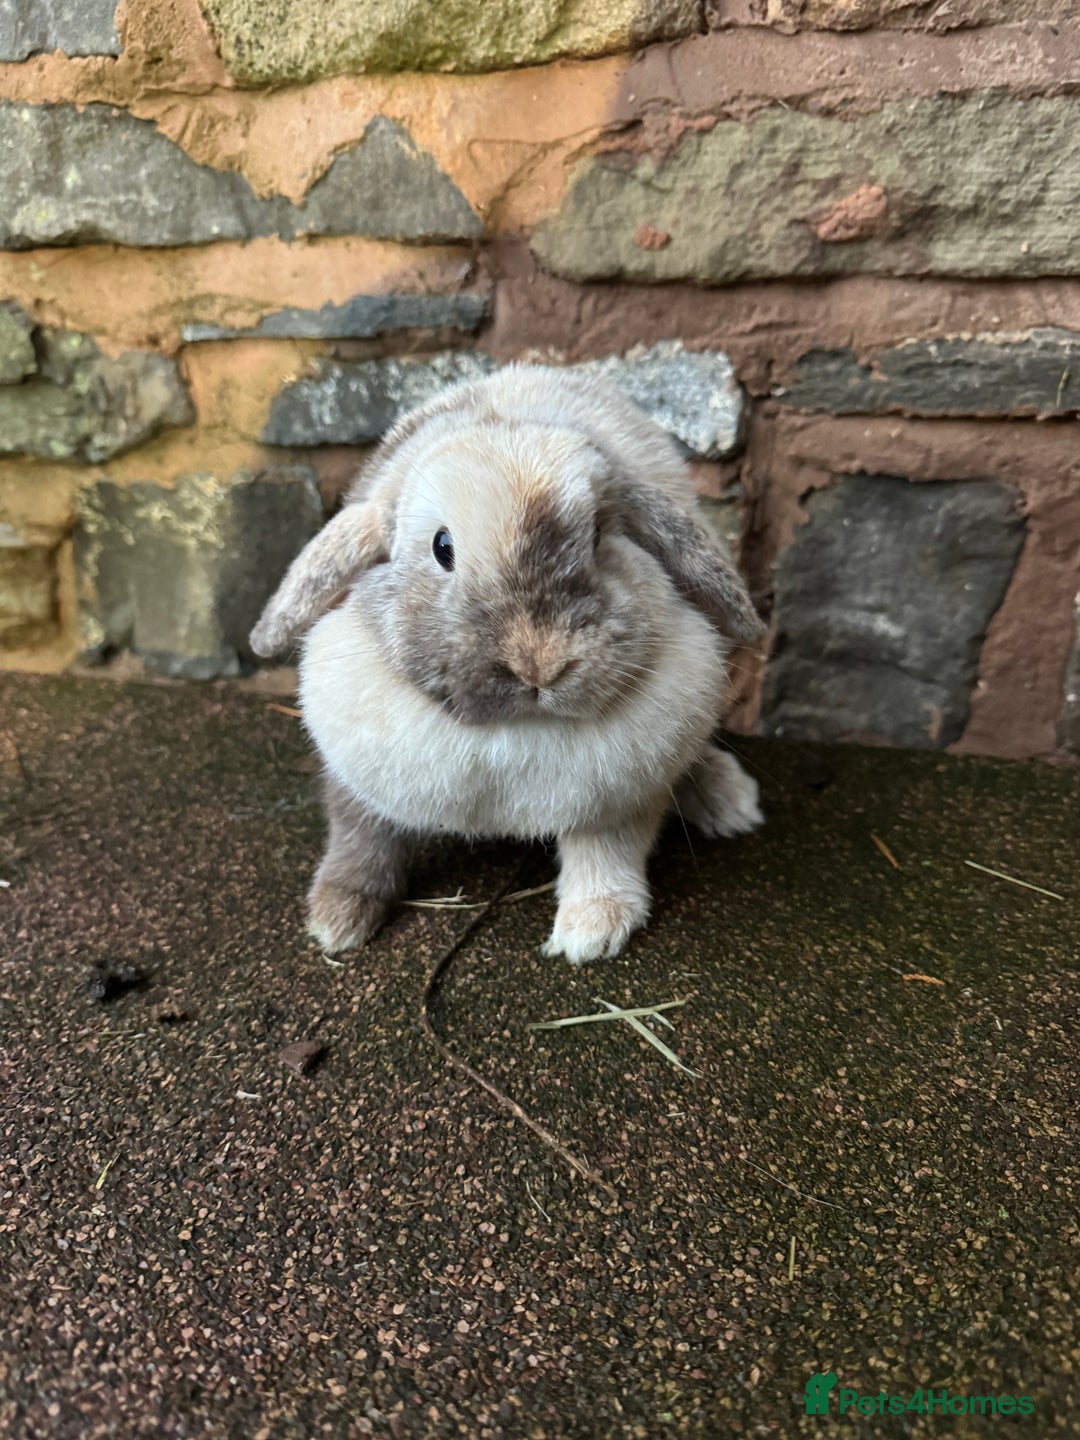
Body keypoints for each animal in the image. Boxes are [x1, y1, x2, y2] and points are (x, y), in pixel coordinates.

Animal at [250, 364, 764, 964]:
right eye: (442, 547)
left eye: (598, 536)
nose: (538, 663)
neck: (513, 733)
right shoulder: (360, 778)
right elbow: (360, 838)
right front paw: (338, 918)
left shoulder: (618, 799)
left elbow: (606, 855)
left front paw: (592, 931)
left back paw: (728, 801)